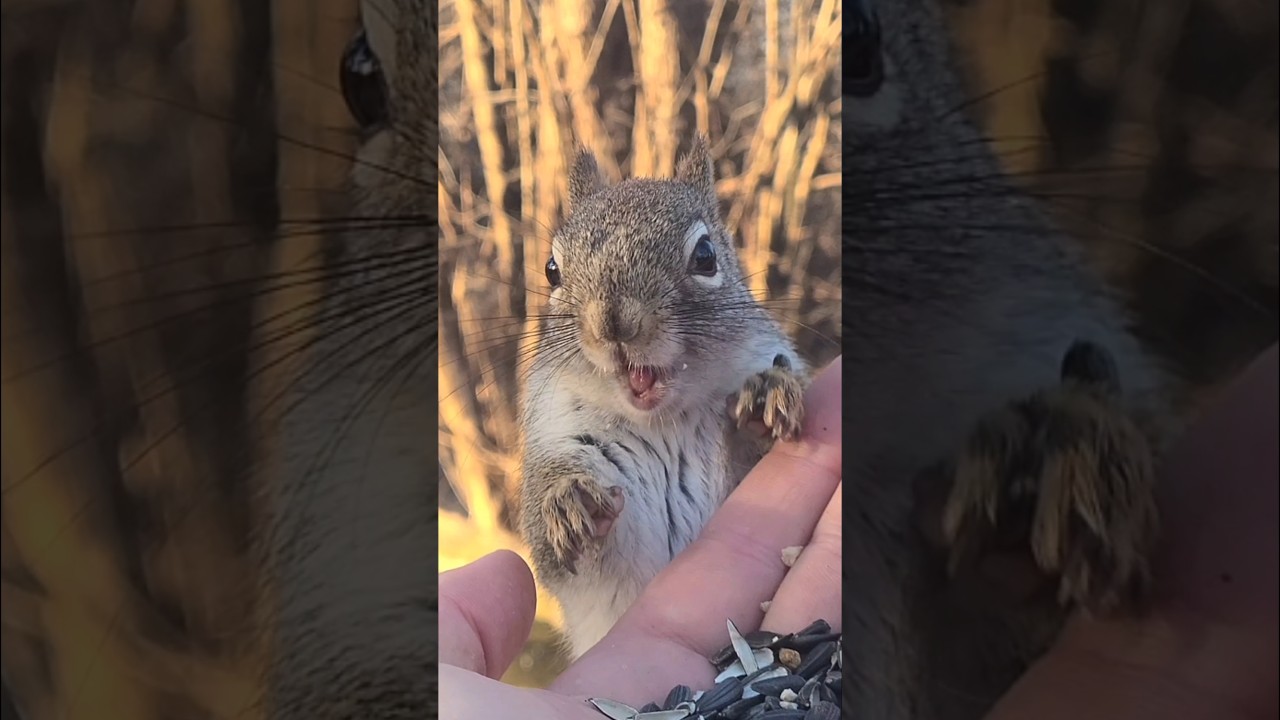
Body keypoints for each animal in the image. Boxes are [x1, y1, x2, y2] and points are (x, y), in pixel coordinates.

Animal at [517, 136, 810, 660]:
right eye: (552, 270)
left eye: (706, 256)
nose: (613, 322)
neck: (662, 421)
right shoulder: (557, 432)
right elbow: (561, 555)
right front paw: (568, 499)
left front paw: (765, 397)